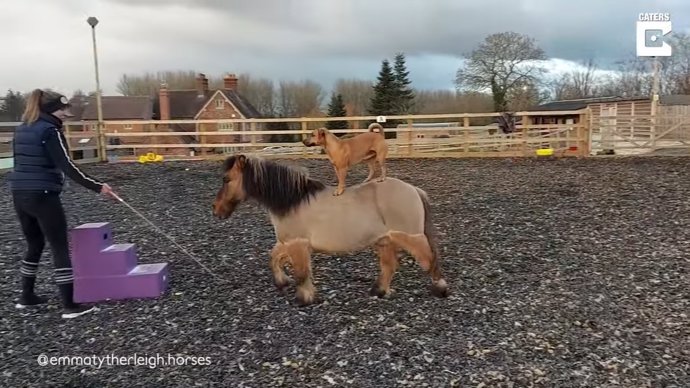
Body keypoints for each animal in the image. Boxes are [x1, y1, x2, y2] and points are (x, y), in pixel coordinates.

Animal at [212, 155, 448, 306]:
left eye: (226, 179)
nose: (216, 210)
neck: (292, 201)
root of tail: (414, 190)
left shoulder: (297, 244)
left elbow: (301, 273)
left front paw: (305, 299)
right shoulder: (288, 242)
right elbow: (274, 257)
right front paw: (281, 282)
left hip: (410, 237)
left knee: (429, 260)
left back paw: (441, 289)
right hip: (384, 240)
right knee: (389, 266)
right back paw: (379, 291)